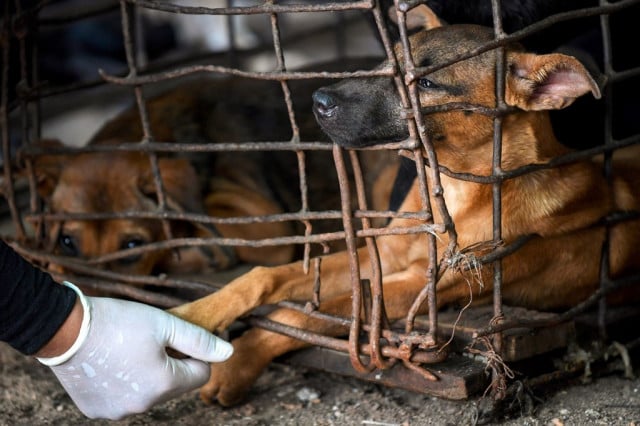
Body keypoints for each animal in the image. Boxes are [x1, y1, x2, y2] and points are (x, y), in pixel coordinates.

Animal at [170, 5, 640, 406]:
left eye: (426, 84)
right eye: (390, 59)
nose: (318, 101)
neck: (458, 192)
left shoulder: (418, 286)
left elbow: (304, 318)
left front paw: (236, 363)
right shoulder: (383, 255)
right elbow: (262, 277)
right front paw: (190, 316)